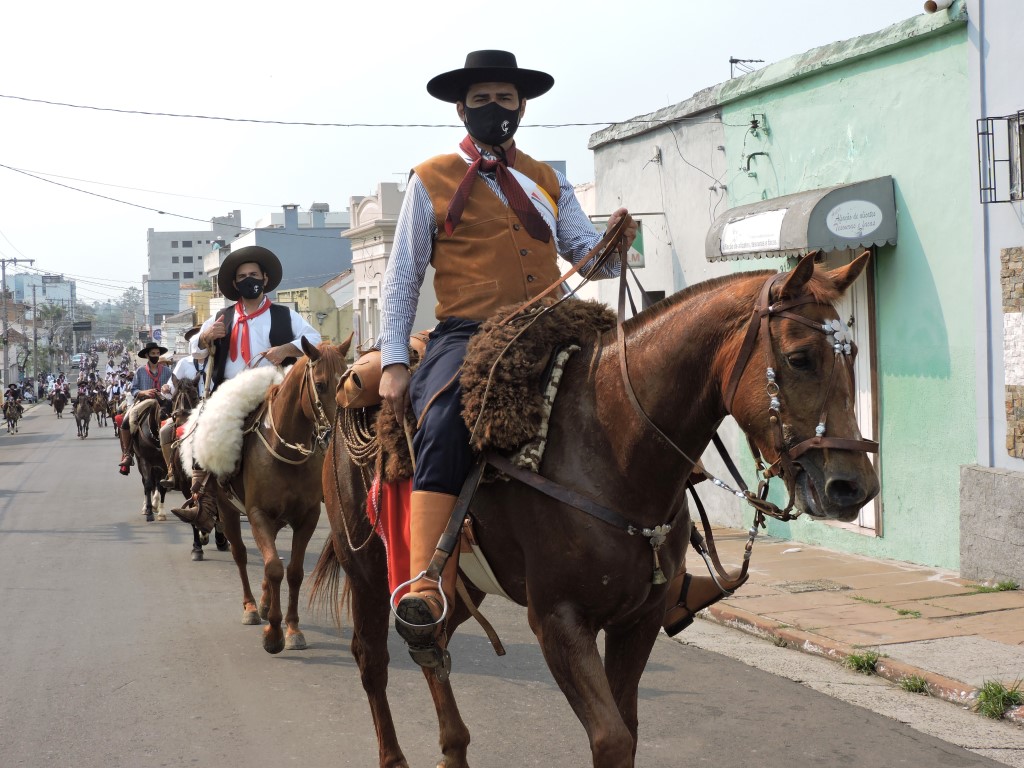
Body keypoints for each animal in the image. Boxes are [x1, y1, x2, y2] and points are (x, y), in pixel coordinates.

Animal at [209, 335, 350, 655]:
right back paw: (251, 606)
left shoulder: (307, 517)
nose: (334, 434)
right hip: (228, 509)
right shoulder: (257, 514)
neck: (285, 450)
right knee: (241, 554)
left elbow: (294, 571)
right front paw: (273, 634)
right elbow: (274, 568)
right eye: (320, 384)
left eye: (346, 381)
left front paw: (293, 628)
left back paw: (263, 602)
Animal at [309, 252, 880, 768]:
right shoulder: (559, 621)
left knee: (434, 643)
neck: (610, 448)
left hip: (461, 580)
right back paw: (395, 755)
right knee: (373, 659)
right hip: (367, 569)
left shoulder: (639, 620)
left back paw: (454, 748)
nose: (853, 486)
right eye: (801, 357)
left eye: (852, 354)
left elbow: (627, 730)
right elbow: (611, 739)